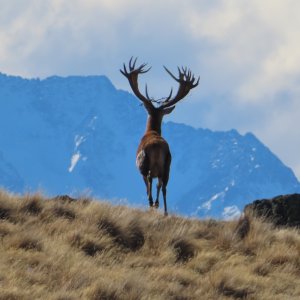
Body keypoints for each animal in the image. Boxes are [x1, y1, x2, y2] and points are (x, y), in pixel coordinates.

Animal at [119, 56, 199, 216]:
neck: (152, 131)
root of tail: (156, 146)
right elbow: (160, 186)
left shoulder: (141, 171)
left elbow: (147, 187)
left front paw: (152, 204)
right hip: (168, 164)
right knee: (164, 186)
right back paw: (164, 210)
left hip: (146, 164)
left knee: (151, 180)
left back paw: (152, 203)